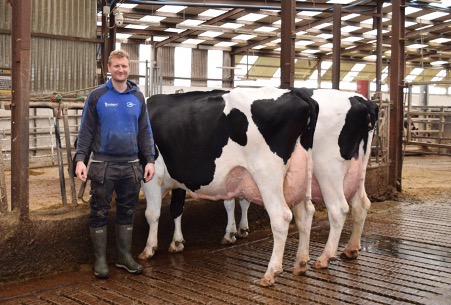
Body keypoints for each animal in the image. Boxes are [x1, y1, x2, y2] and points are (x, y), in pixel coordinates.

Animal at [139, 87, 320, 284]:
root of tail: (295, 93)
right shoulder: (179, 178)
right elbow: (177, 208)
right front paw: (177, 242)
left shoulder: (152, 174)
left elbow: (152, 214)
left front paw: (149, 249)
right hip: (299, 178)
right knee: (305, 213)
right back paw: (301, 263)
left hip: (267, 175)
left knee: (281, 216)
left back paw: (271, 272)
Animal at [165, 88, 378, 274]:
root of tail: (361, 101)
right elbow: (235, 200)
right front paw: (237, 230)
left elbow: (179, 206)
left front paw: (179, 242)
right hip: (357, 171)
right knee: (361, 204)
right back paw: (350, 249)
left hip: (328, 170)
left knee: (338, 209)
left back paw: (324, 258)